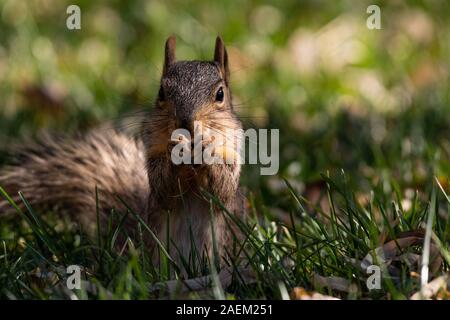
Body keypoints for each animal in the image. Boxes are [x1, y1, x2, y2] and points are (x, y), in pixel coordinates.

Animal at [0, 35, 244, 270]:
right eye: (161, 92)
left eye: (220, 94)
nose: (186, 122)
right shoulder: (154, 160)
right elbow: (164, 189)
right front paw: (176, 148)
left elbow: (221, 190)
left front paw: (206, 148)